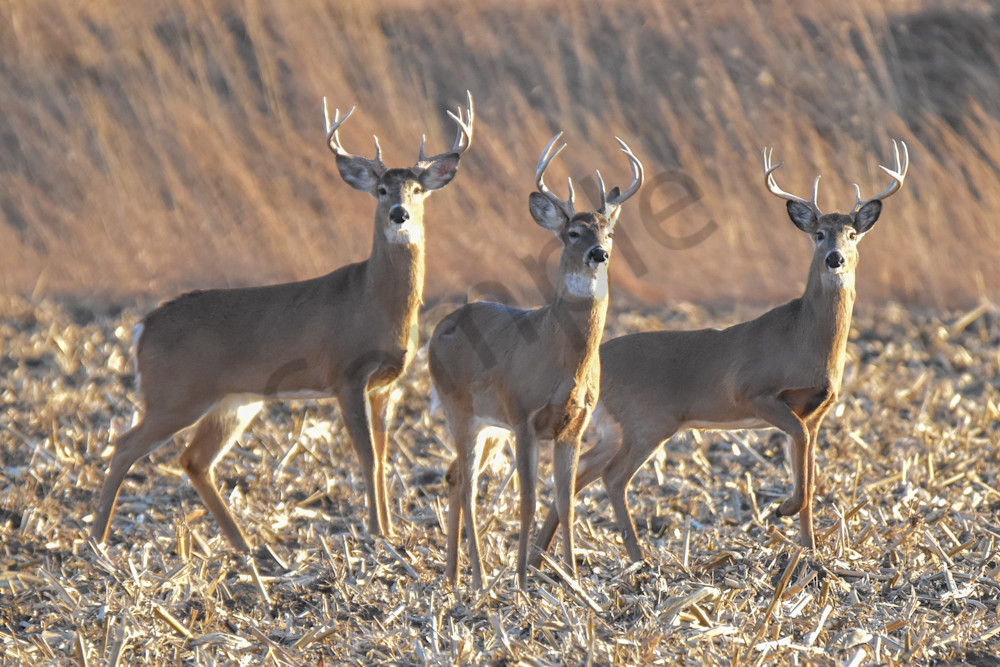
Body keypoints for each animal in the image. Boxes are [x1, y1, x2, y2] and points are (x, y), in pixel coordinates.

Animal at [92, 93, 474, 553]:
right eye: (381, 190)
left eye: (417, 190)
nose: (399, 214)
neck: (376, 302)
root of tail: (142, 328)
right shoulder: (345, 373)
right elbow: (365, 456)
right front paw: (376, 532)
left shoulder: (387, 382)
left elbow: (383, 456)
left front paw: (391, 530)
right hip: (175, 392)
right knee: (124, 445)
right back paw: (96, 539)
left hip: (234, 400)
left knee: (193, 459)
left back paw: (243, 544)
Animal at [428, 132, 643, 589]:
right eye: (573, 232)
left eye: (610, 231)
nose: (599, 253)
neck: (562, 359)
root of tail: (439, 328)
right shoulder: (524, 415)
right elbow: (526, 502)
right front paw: (523, 581)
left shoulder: (573, 426)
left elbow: (566, 501)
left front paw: (573, 579)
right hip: (460, 411)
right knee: (468, 487)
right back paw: (478, 579)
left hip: (490, 425)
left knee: (454, 476)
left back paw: (454, 577)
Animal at [533, 140, 908, 562]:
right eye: (819, 234)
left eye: (852, 234)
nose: (835, 258)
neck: (806, 341)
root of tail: (594, 362)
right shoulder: (753, 392)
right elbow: (800, 459)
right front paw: (784, 508)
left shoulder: (817, 413)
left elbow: (810, 475)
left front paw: (810, 550)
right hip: (647, 421)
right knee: (613, 477)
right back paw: (636, 558)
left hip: (615, 427)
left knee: (579, 472)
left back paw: (541, 555)